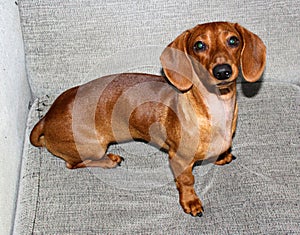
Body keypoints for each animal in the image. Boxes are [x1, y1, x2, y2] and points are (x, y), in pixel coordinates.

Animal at [29, 22, 264, 217]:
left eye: (233, 40)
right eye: (199, 45)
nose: (222, 71)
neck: (215, 109)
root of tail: (46, 118)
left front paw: (222, 156)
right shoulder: (178, 159)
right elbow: (187, 181)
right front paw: (191, 202)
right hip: (93, 147)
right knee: (73, 163)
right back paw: (109, 160)